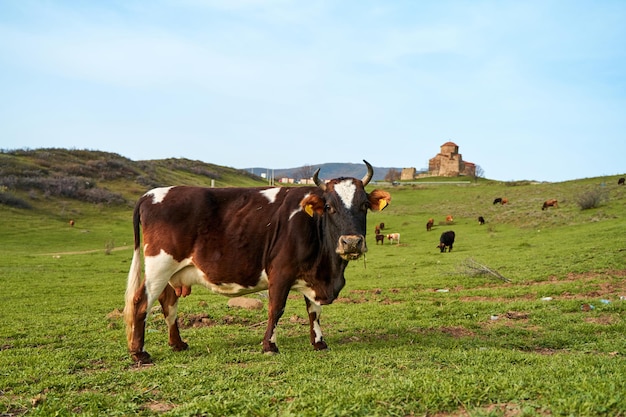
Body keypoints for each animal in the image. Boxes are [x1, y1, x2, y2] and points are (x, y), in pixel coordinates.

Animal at [123, 161, 390, 362]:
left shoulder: (311, 275)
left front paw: (319, 343)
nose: (351, 242)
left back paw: (177, 343)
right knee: (141, 302)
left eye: (364, 205)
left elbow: (314, 311)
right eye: (329, 206)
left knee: (168, 303)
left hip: (172, 272)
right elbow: (276, 308)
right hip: (159, 266)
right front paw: (269, 346)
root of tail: (151, 194)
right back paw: (139, 352)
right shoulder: (280, 272)